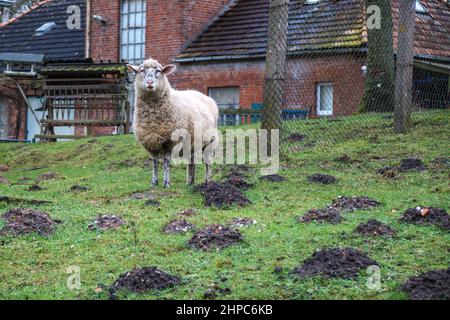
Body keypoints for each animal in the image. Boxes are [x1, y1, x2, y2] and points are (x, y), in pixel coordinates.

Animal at [127, 57, 219, 188]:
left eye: (159, 71)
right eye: (141, 71)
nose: (150, 82)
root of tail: (207, 98)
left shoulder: (169, 141)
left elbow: (166, 162)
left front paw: (166, 183)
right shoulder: (149, 142)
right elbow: (154, 162)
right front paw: (154, 182)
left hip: (210, 141)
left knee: (208, 162)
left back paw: (207, 181)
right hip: (191, 143)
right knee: (191, 162)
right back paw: (190, 182)